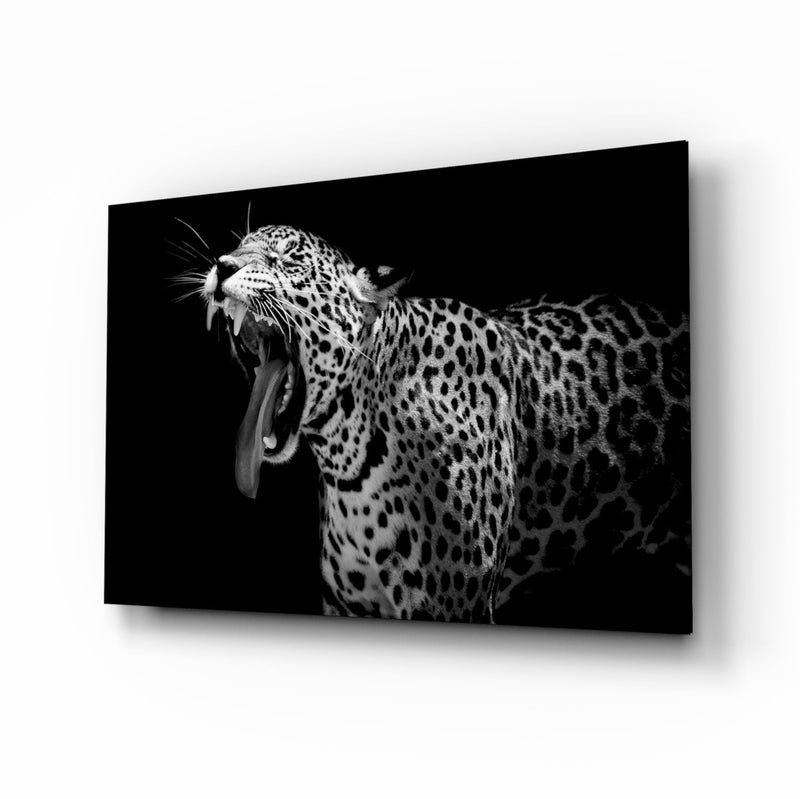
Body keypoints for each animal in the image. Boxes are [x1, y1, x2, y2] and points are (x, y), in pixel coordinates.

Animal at [197, 224, 690, 623]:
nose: (222, 265)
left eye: (287, 259)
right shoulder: (351, 605)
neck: (349, 456)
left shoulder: (452, 603)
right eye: (238, 246)